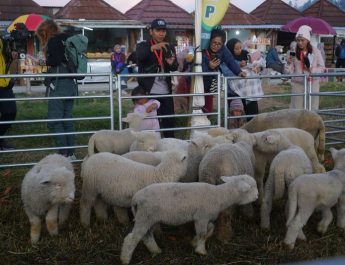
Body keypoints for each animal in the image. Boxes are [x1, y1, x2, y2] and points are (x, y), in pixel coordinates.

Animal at [119, 174, 256, 262]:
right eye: (251, 188)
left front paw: (194, 242)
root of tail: (136, 198)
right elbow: (202, 233)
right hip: (144, 216)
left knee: (147, 236)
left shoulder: (204, 218)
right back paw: (125, 259)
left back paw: (155, 250)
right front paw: (201, 251)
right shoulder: (202, 217)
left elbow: (210, 229)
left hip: (149, 218)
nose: (257, 197)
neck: (219, 196)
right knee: (132, 238)